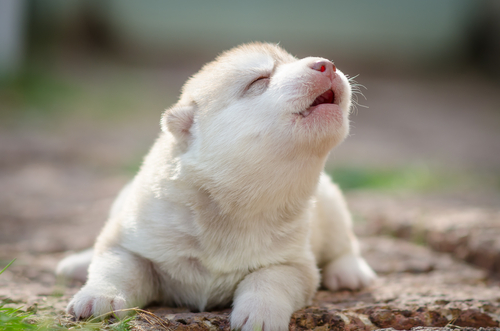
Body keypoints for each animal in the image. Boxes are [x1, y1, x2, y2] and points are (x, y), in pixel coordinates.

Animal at [56, 42, 374, 330]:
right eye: (259, 80)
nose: (327, 64)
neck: (234, 200)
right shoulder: (129, 242)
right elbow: (118, 267)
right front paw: (100, 298)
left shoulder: (295, 264)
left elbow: (269, 279)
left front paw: (260, 314)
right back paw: (76, 263)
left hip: (332, 206)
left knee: (345, 244)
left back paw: (350, 272)